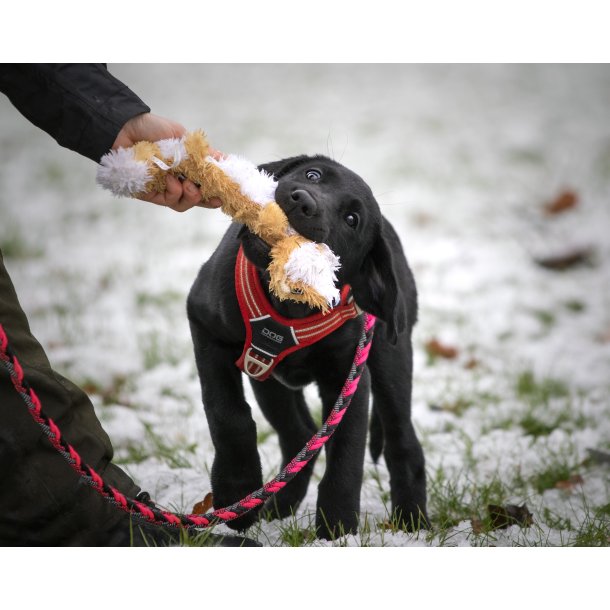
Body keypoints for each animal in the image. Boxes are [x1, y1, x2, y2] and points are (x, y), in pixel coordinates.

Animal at [186, 153, 428, 536]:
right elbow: (228, 415)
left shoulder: (349, 380)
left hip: (392, 358)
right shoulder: (206, 330)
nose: (302, 200)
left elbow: (346, 455)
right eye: (313, 174)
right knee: (300, 434)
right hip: (268, 380)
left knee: (402, 441)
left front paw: (337, 530)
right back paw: (277, 505)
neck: (290, 305)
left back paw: (412, 522)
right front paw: (235, 491)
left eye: (352, 220)